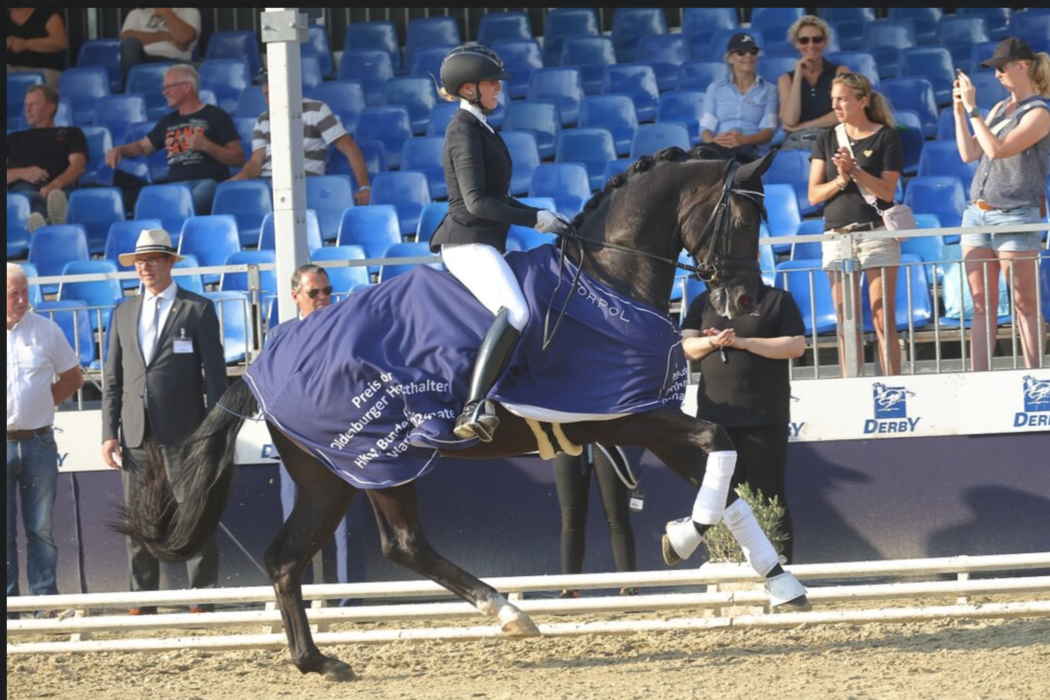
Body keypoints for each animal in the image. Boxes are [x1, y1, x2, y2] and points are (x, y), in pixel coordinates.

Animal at [124, 146, 810, 680]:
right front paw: (682, 537)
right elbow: (718, 441)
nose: (746, 300)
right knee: (390, 546)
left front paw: (781, 583)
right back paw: (507, 612)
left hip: (335, 477)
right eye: (742, 215)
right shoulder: (621, 416)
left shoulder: (648, 416)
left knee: (298, 557)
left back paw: (319, 660)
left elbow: (728, 476)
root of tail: (260, 367)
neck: (609, 279)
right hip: (373, 462)